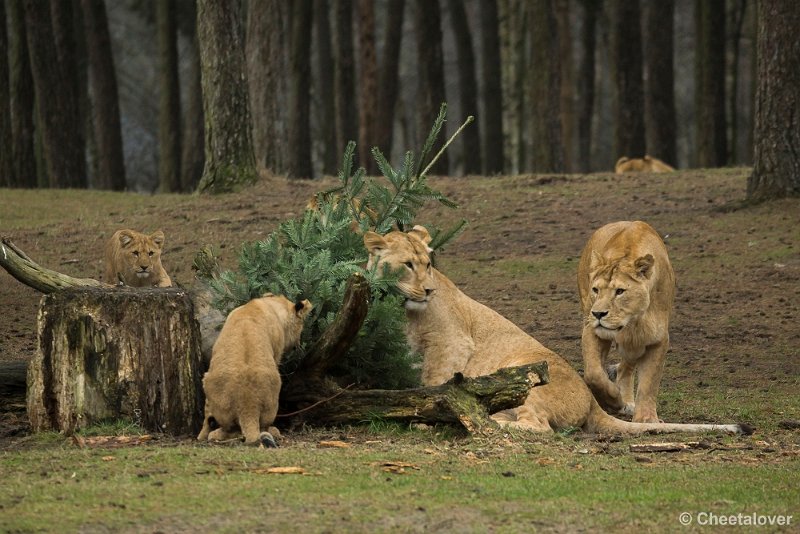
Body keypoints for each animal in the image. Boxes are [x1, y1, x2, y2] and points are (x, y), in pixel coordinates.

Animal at [198, 296, 312, 446]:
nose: (297, 344)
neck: (270, 303)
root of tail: (248, 404)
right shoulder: (277, 352)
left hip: (209, 382)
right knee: (249, 430)